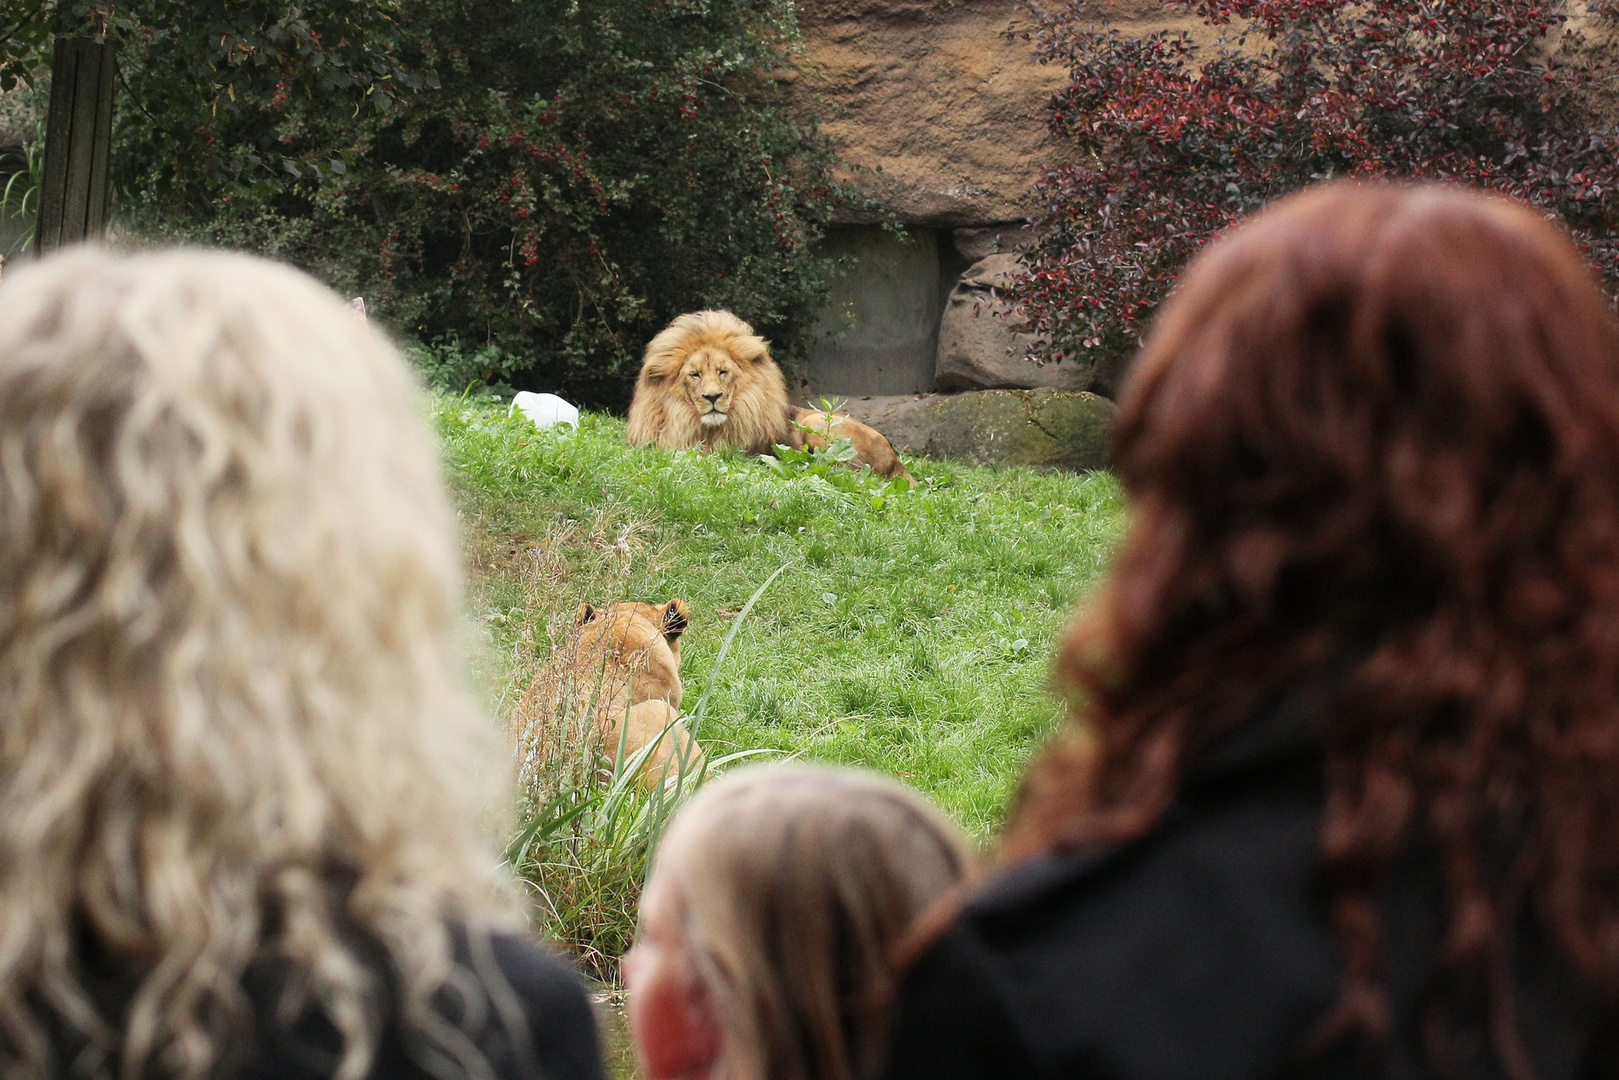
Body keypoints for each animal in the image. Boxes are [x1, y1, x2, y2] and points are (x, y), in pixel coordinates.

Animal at [624, 312, 919, 482]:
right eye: (695, 375)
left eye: (722, 372)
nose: (713, 397)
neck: (700, 425)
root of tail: (897, 460)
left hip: (815, 422)